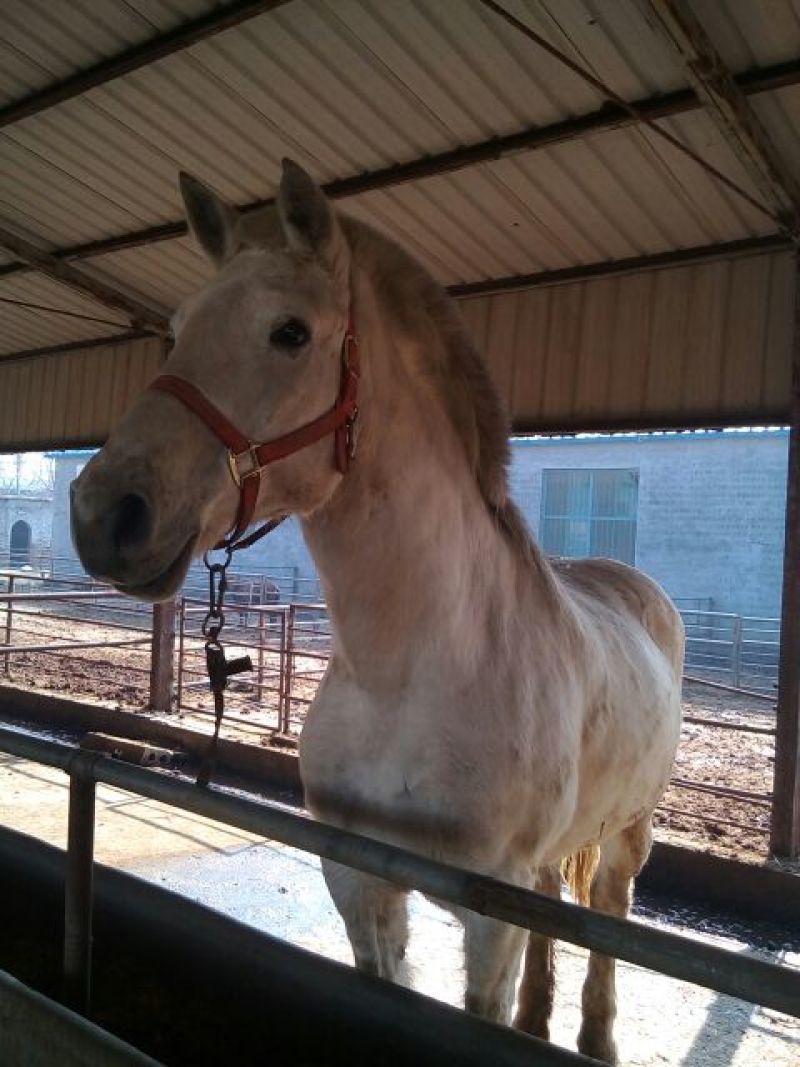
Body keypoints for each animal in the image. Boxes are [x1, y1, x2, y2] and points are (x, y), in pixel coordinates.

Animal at [70, 158, 684, 1064]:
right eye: (176, 330)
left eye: (291, 332)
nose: (103, 513)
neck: (414, 671)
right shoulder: (357, 881)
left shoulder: (490, 920)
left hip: (630, 831)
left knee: (608, 913)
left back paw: (593, 1037)